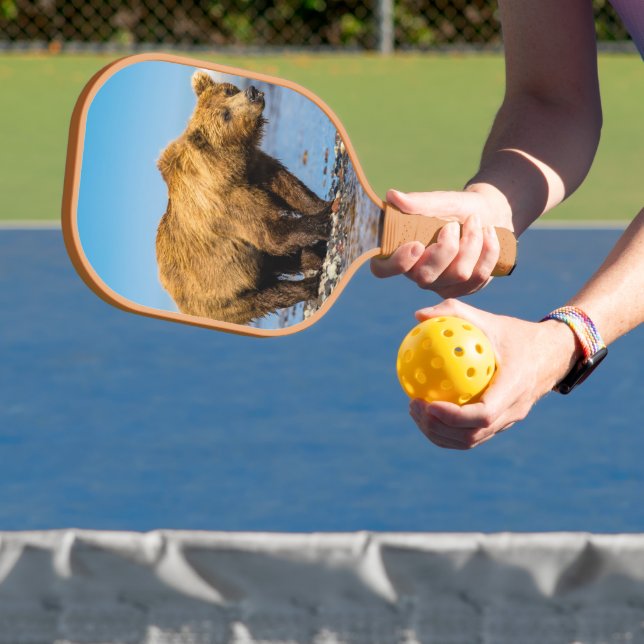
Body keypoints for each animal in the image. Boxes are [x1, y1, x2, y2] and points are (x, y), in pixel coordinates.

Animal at [156, 71, 331, 325]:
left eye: (228, 91)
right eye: (225, 115)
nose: (251, 92)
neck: (228, 167)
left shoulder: (254, 168)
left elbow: (290, 188)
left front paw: (325, 205)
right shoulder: (227, 205)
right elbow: (271, 233)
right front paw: (324, 221)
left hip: (250, 264)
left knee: (282, 261)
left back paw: (315, 256)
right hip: (223, 296)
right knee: (268, 296)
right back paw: (311, 283)